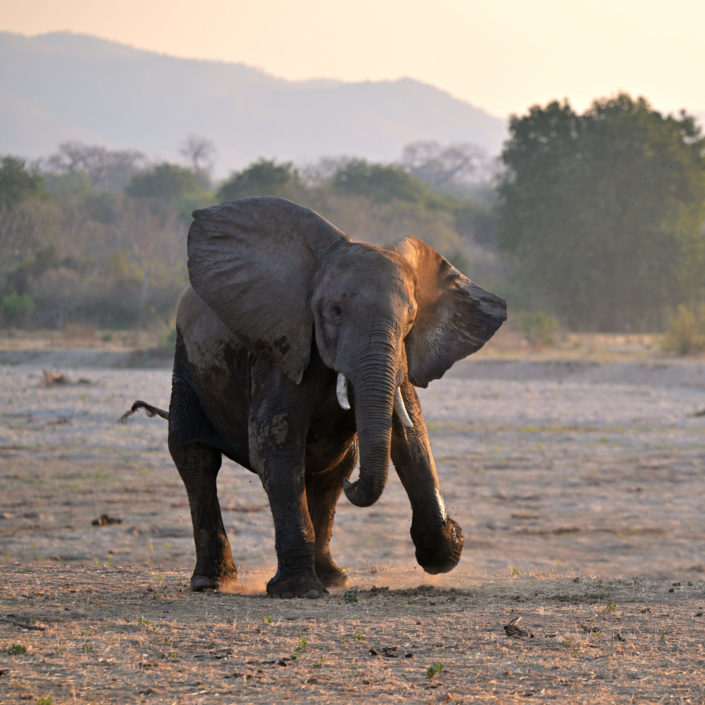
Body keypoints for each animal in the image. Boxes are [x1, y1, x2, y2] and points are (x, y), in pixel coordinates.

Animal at [129, 197, 506, 598]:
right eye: (335, 311)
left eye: (410, 321)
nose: (356, 486)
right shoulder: (281, 346)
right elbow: (275, 443)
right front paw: (297, 591)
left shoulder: (401, 355)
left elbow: (411, 433)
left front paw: (444, 553)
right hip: (187, 362)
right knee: (196, 460)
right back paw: (212, 581)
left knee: (331, 469)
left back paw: (333, 578)